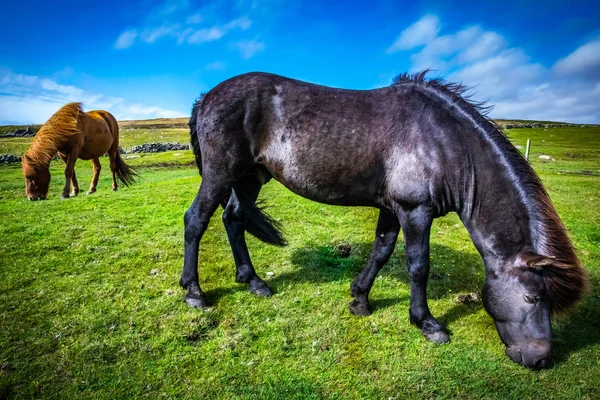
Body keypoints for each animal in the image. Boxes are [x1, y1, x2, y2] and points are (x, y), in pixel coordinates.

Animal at [182, 71, 584, 368]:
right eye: (533, 297)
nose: (541, 360)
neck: (445, 142)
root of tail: (207, 97)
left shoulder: (393, 209)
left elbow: (381, 251)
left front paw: (360, 299)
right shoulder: (414, 209)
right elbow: (418, 265)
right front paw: (427, 323)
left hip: (249, 177)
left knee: (234, 220)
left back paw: (253, 282)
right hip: (220, 174)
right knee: (195, 220)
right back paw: (194, 292)